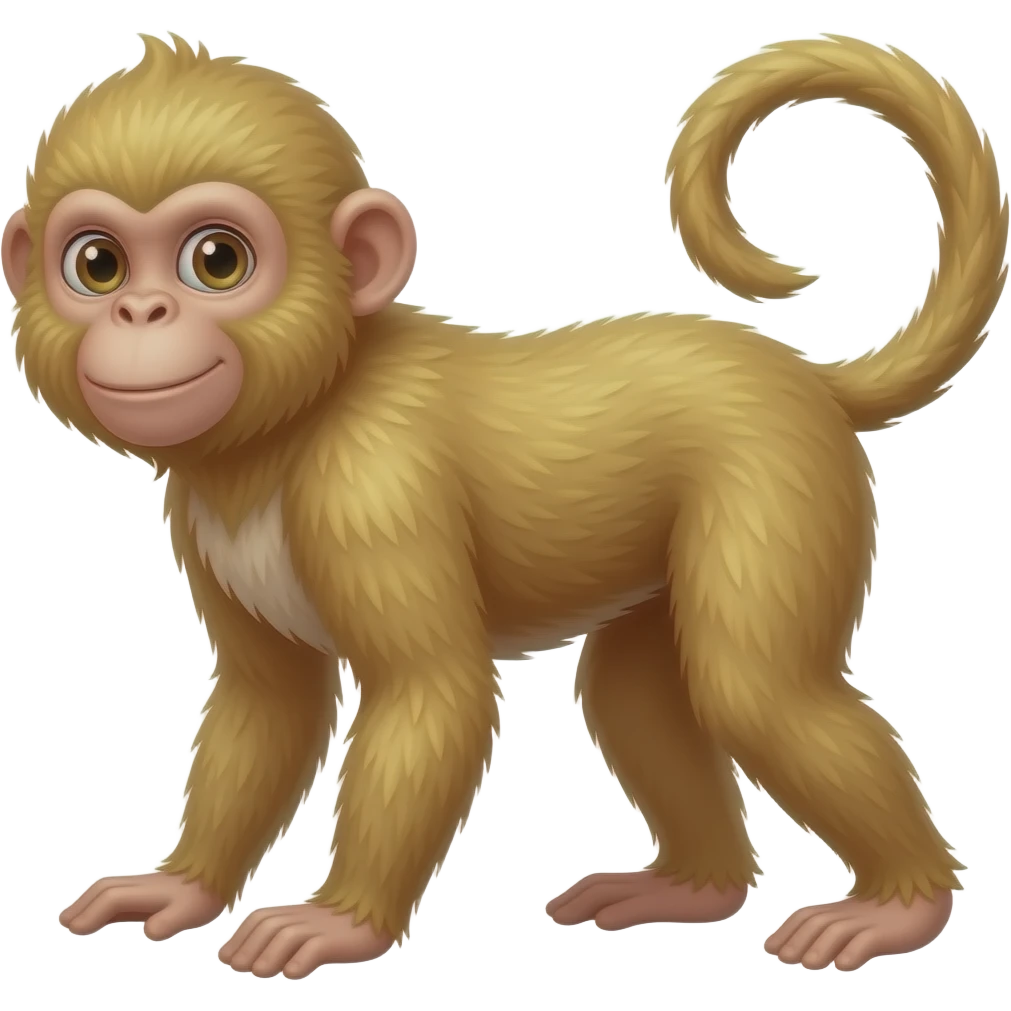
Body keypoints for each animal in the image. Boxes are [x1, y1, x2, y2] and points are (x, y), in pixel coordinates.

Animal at [5, 31, 1004, 979]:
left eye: (215, 260)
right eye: (97, 264)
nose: (140, 314)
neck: (294, 420)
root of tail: (807, 381)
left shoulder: (371, 481)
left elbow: (431, 691)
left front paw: (339, 922)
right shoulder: (200, 511)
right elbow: (270, 699)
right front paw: (181, 887)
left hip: (775, 478)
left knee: (754, 686)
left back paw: (901, 905)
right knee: (634, 694)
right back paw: (694, 887)